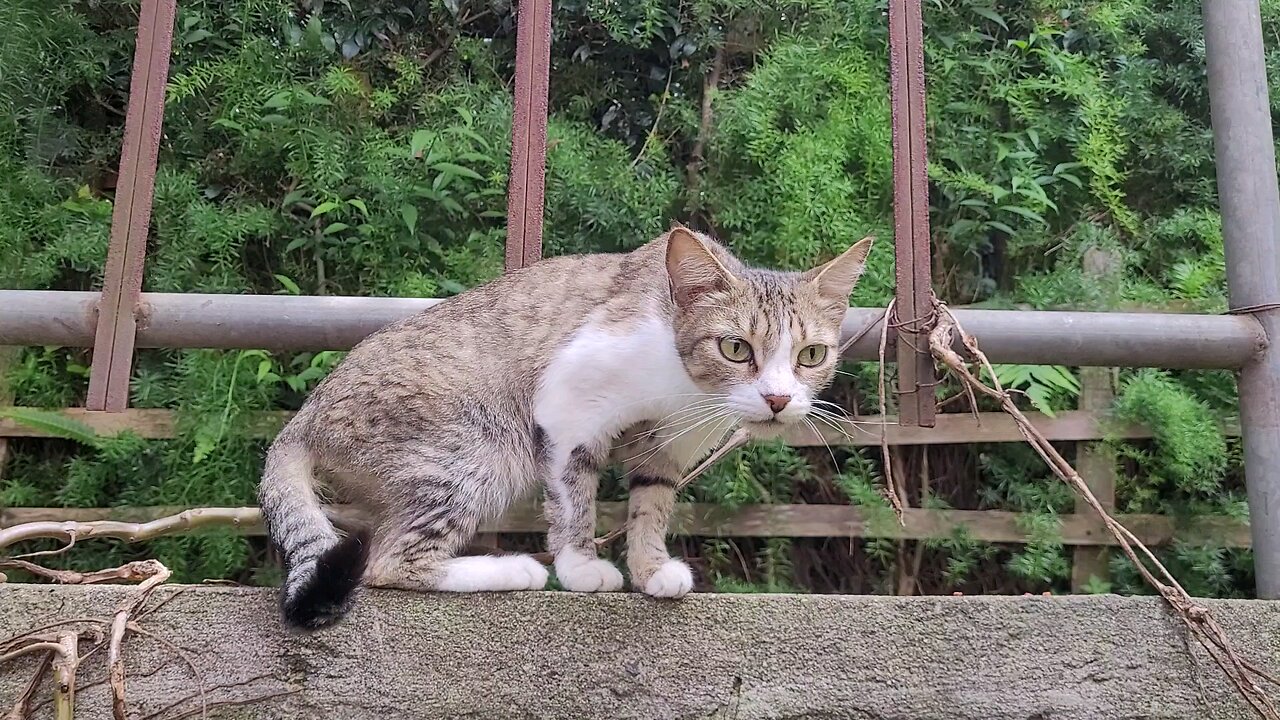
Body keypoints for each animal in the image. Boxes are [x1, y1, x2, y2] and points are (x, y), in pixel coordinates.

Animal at [258, 221, 870, 625]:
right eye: (736, 347)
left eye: (812, 355)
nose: (777, 399)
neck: (682, 387)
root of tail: (305, 416)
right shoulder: (567, 406)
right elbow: (575, 495)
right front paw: (581, 568)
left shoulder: (668, 449)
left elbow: (651, 504)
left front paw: (651, 569)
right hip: (474, 453)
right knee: (388, 561)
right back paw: (513, 570)